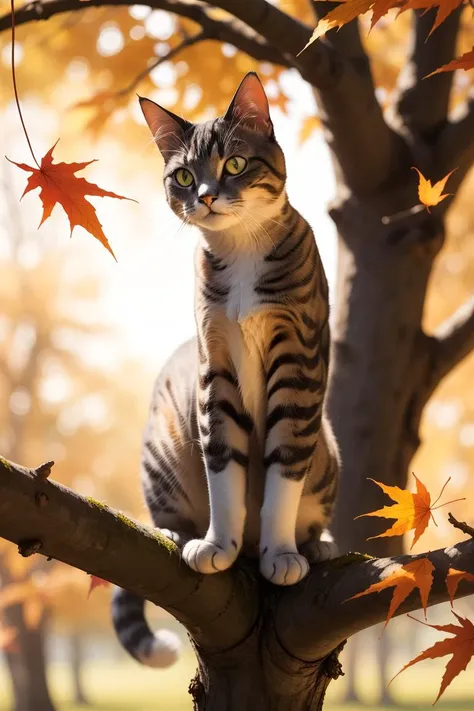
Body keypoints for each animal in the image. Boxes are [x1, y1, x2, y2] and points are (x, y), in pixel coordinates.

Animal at [113, 75, 338, 672]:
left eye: (234, 164)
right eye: (184, 176)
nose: (207, 196)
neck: (241, 253)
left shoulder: (297, 364)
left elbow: (283, 468)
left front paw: (281, 553)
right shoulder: (216, 371)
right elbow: (224, 468)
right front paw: (218, 545)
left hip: (327, 452)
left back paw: (312, 546)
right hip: (165, 445)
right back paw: (180, 533)